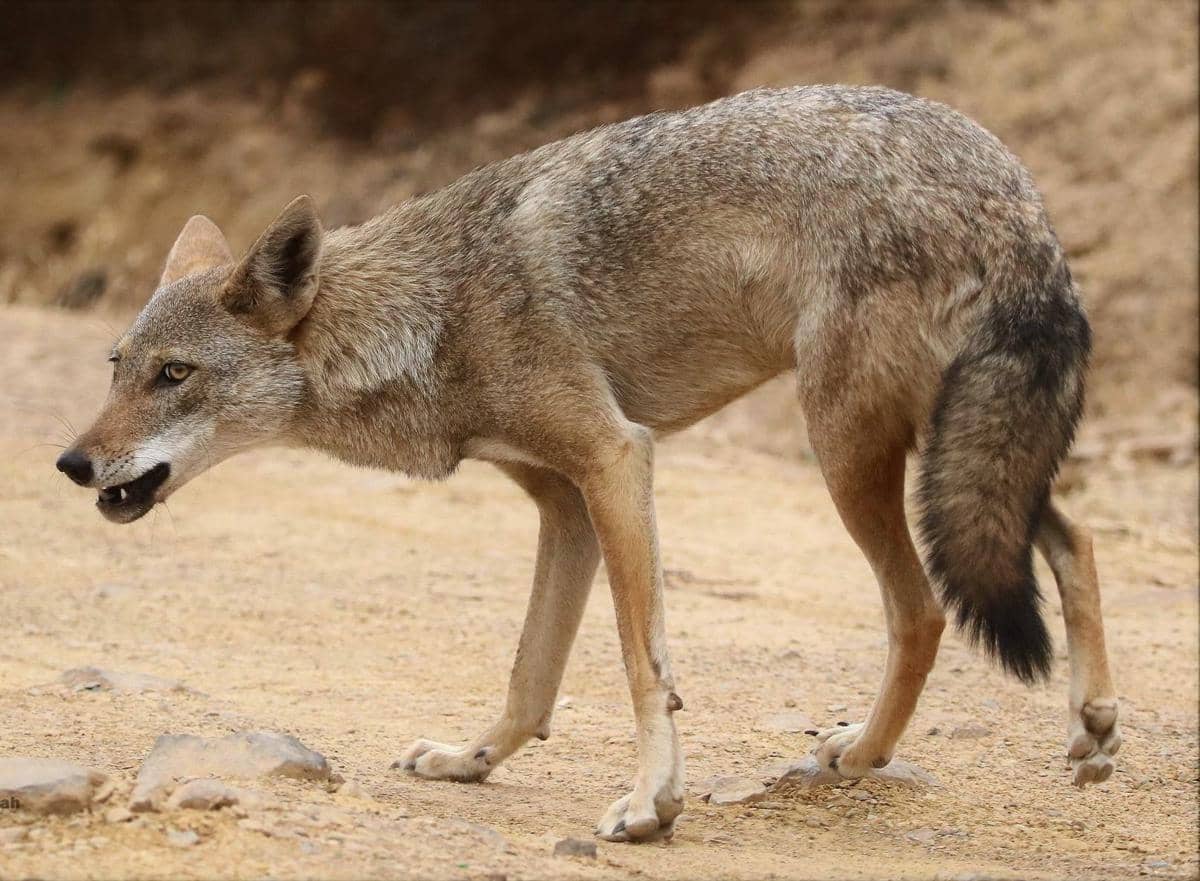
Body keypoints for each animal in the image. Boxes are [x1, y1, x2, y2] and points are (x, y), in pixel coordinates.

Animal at [56, 85, 1120, 841]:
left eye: (175, 374)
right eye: (117, 367)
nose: (72, 462)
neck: (434, 311)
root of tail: (1015, 190)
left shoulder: (616, 459)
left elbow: (641, 661)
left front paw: (651, 803)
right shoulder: (561, 500)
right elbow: (531, 673)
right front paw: (470, 760)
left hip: (852, 454)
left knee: (925, 606)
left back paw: (860, 754)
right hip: (952, 454)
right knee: (1071, 538)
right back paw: (1091, 725)